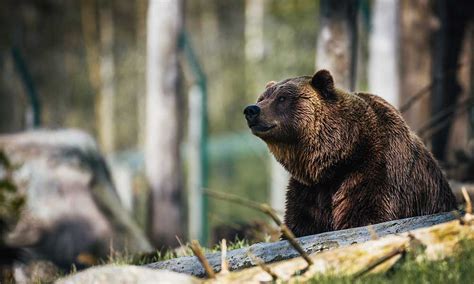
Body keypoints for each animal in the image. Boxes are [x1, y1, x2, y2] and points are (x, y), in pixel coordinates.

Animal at [243, 70, 458, 236]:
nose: (251, 110)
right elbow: (301, 224)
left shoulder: (375, 170)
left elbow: (365, 215)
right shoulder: (309, 190)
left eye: (282, 98)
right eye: (262, 98)